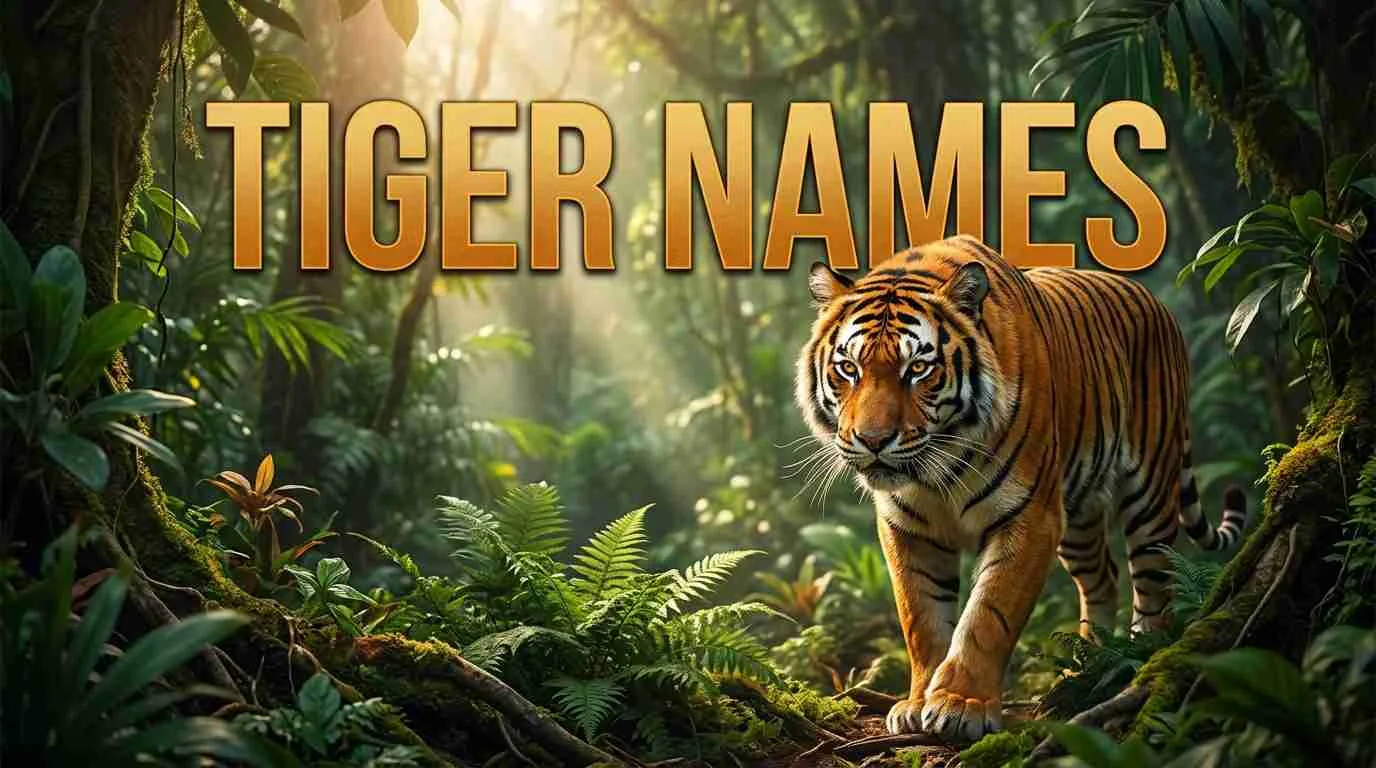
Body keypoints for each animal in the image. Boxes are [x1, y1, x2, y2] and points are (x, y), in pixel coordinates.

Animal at [794, 235, 1246, 739]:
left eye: (918, 369)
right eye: (848, 368)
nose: (873, 441)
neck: (936, 469)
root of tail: (1156, 300)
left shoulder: (1030, 518)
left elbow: (987, 615)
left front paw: (961, 705)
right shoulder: (907, 528)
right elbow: (921, 618)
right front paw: (916, 701)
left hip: (1150, 492)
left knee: (1154, 583)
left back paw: (1135, 664)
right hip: (1078, 518)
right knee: (1103, 576)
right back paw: (1086, 670)